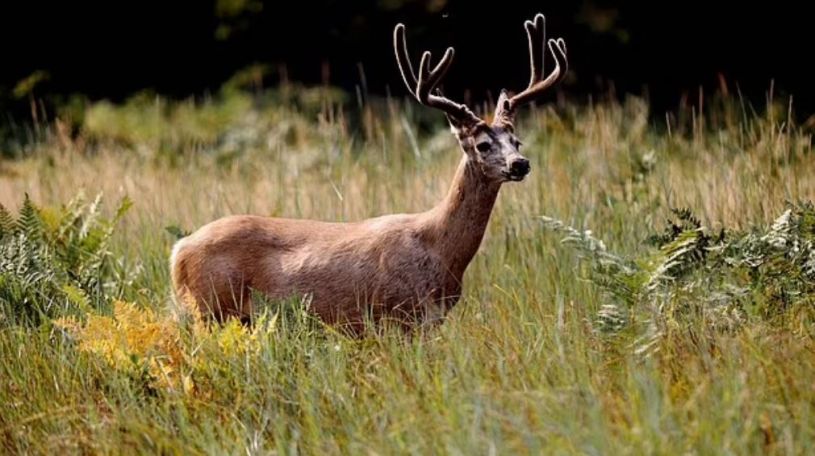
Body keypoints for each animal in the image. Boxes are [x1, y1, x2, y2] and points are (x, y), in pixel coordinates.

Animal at [170, 13, 568, 335]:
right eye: (483, 145)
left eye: (516, 140)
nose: (520, 164)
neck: (439, 249)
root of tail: (178, 251)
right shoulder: (398, 314)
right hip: (212, 308)